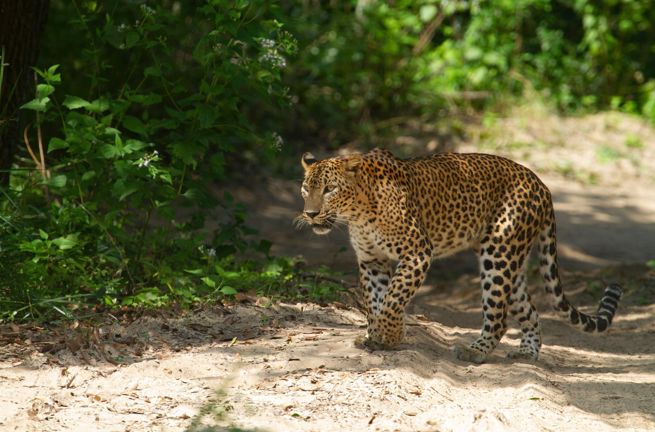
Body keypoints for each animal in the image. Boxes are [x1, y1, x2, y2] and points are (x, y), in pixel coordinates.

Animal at [298, 148, 623, 363]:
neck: (357, 213)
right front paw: (375, 337)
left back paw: (473, 351)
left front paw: (388, 336)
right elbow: (375, 302)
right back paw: (526, 353)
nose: (310, 214)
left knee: (499, 317)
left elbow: (393, 299)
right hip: (513, 261)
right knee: (529, 309)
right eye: (305, 188)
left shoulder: (417, 253)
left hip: (499, 255)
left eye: (329, 189)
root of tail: (542, 185)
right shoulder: (371, 261)